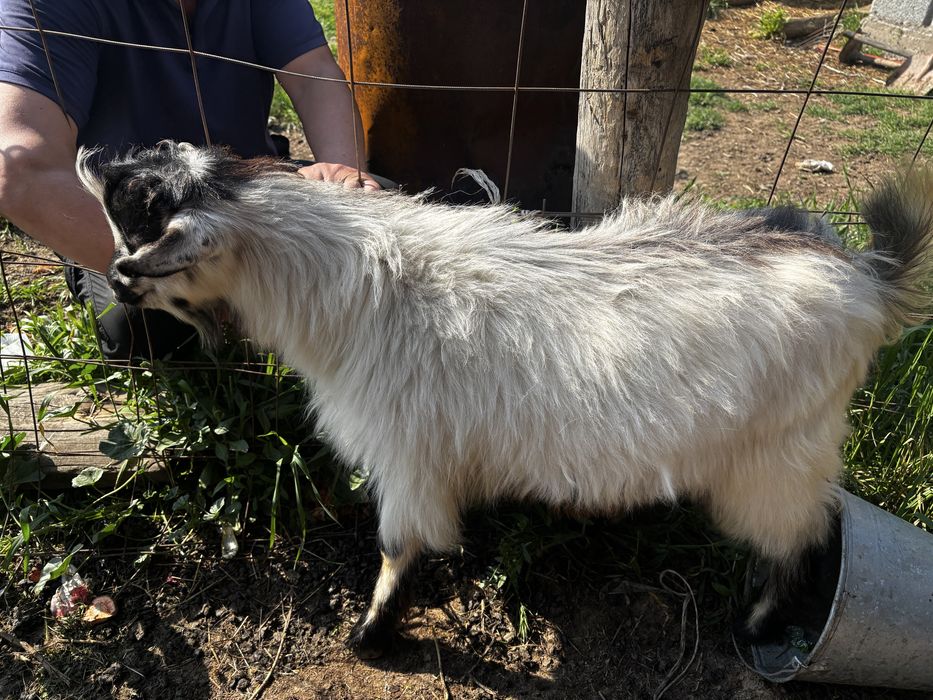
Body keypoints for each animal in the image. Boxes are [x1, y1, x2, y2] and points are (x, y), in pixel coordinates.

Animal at [77, 143, 933, 658]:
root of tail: (866, 279)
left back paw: (755, 625)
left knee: (803, 534)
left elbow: (398, 546)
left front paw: (369, 634)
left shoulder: (406, 457)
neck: (359, 292)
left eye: (136, 202)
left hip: (776, 455)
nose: (88, 152)